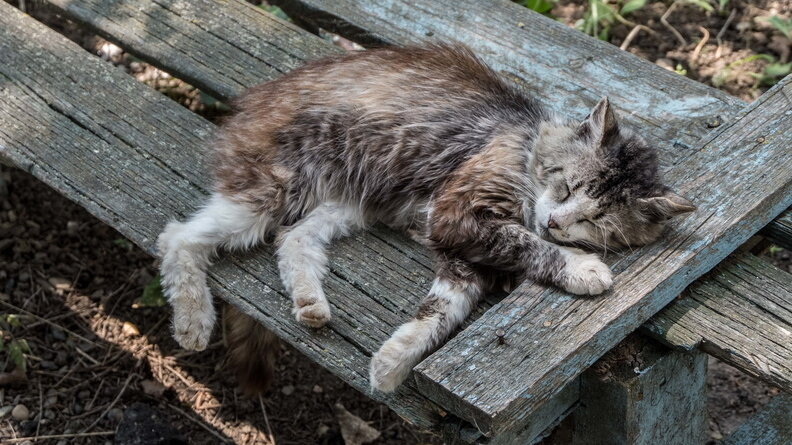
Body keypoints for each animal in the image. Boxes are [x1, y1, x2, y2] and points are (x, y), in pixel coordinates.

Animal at [158, 42, 696, 392]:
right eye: (565, 186)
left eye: (596, 220)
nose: (558, 224)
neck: (528, 143)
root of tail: (255, 96)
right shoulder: (458, 216)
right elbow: (529, 245)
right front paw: (582, 268)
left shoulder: (462, 253)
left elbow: (440, 312)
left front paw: (392, 364)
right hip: (277, 188)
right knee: (177, 236)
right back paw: (192, 322)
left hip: (348, 205)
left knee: (292, 240)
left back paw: (311, 304)